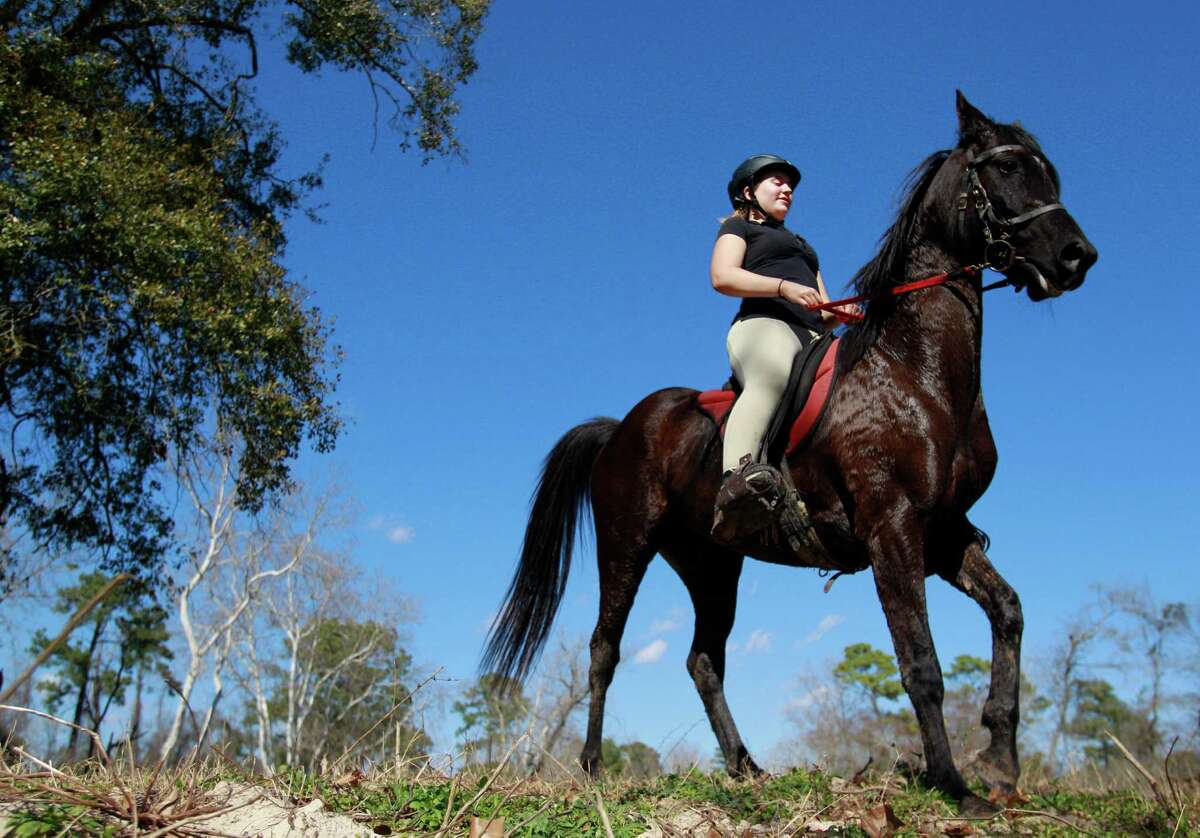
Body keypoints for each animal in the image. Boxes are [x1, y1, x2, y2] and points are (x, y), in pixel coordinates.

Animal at [480, 93, 1099, 811]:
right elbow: (921, 664)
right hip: (626, 543)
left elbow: (1008, 613)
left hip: (712, 562)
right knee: (604, 648)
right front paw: (954, 786)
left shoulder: (943, 531)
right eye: (1005, 167)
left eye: (1047, 170)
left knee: (703, 660)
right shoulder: (893, 528)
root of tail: (623, 426)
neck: (915, 370)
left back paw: (745, 766)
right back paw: (592, 767)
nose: (1077, 257)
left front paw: (1000, 764)